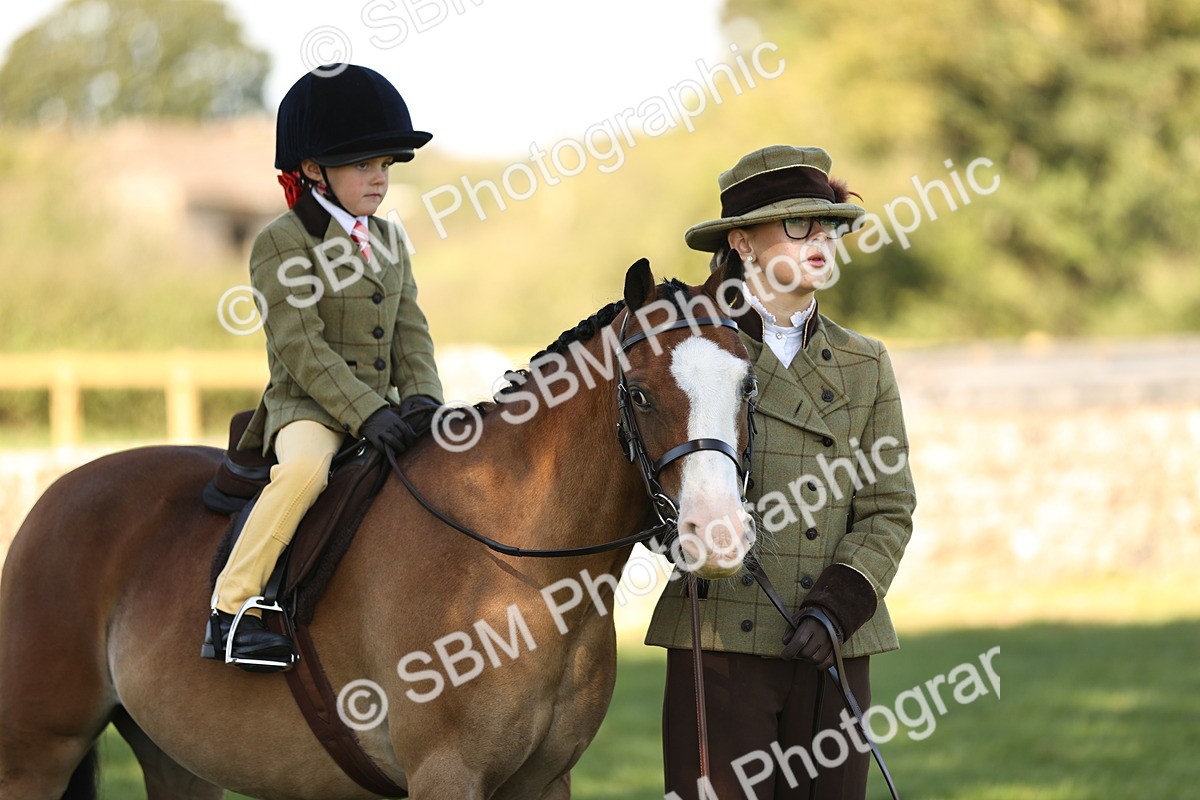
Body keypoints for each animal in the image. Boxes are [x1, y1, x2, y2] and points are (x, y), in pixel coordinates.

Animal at [0, 259, 757, 799]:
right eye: (640, 395)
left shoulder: (544, 783)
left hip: (175, 762)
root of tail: (59, 490)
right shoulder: (447, 776)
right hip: (35, 757)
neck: (526, 568)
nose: (718, 534)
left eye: (747, 387)